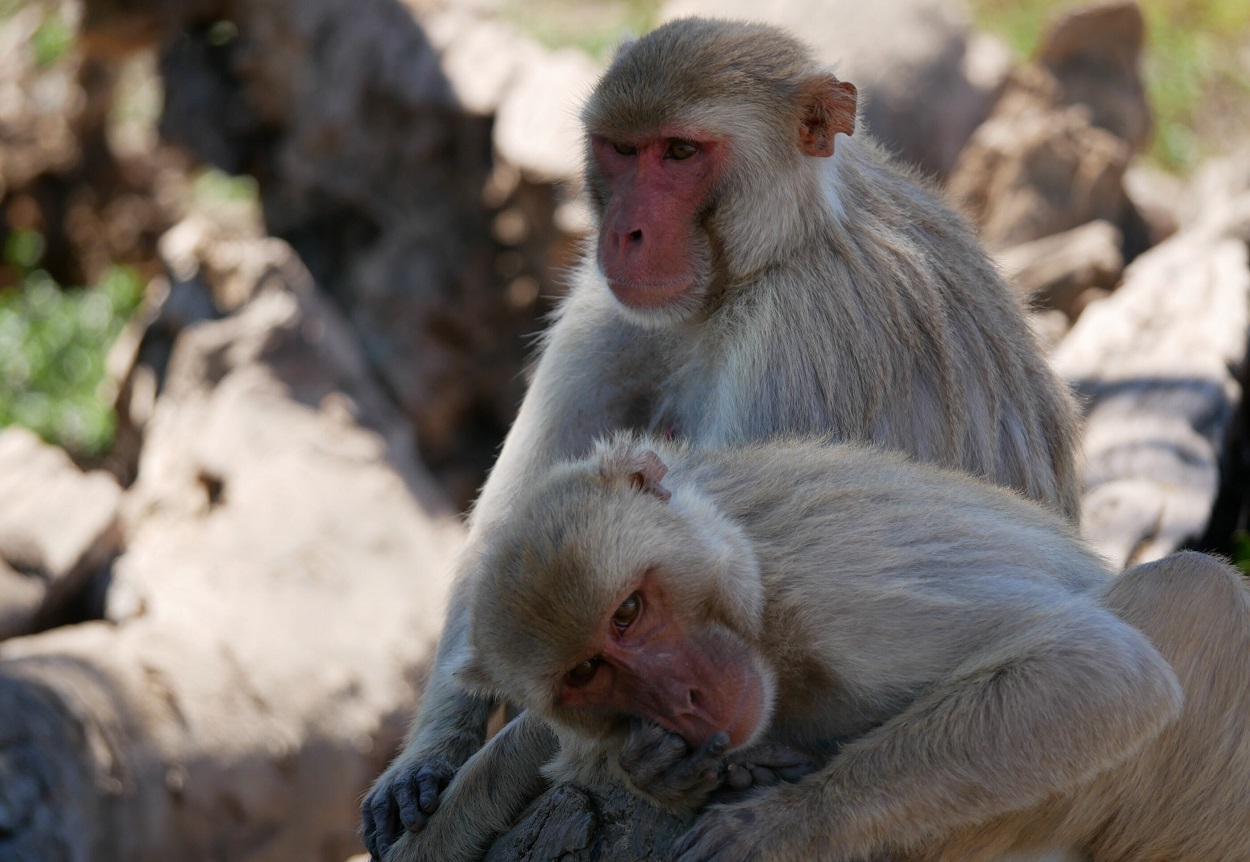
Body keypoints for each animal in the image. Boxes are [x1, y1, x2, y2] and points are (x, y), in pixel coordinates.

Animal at [362, 15, 1085, 854]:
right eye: (622, 149)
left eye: (680, 152)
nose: (626, 232)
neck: (768, 257)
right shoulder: (609, 300)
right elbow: (521, 544)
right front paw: (427, 760)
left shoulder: (802, 334)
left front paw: (459, 811)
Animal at [417, 437, 1240, 859]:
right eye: (587, 671)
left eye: (627, 612)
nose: (681, 696)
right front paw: (650, 768)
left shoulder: (841, 593)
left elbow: (1100, 671)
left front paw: (788, 822)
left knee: (1197, 593)